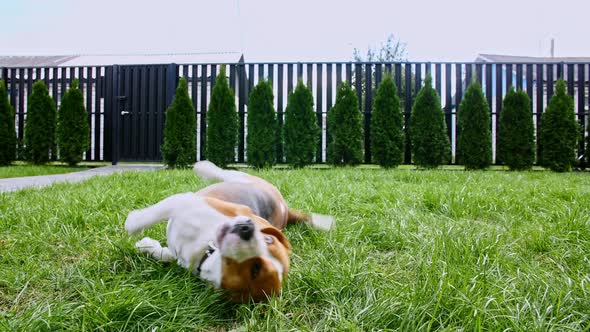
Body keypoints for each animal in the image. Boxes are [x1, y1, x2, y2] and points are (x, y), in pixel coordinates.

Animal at [124, 162, 332, 302]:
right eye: (268, 239)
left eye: (255, 269)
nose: (247, 227)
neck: (205, 250)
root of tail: (285, 209)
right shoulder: (184, 201)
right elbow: (146, 218)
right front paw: (140, 232)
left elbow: (167, 254)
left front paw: (141, 238)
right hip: (240, 178)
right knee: (223, 172)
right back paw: (203, 167)